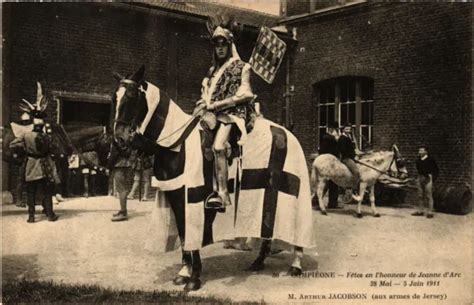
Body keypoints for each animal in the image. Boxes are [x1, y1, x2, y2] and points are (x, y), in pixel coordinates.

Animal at [109, 66, 312, 290]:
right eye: (113, 99)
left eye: (131, 96)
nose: (119, 140)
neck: (177, 145)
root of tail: (286, 133)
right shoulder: (175, 196)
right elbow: (183, 234)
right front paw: (184, 272)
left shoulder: (192, 198)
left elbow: (192, 235)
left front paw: (194, 278)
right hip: (269, 194)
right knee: (267, 229)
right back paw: (258, 262)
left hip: (291, 190)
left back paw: (295, 265)